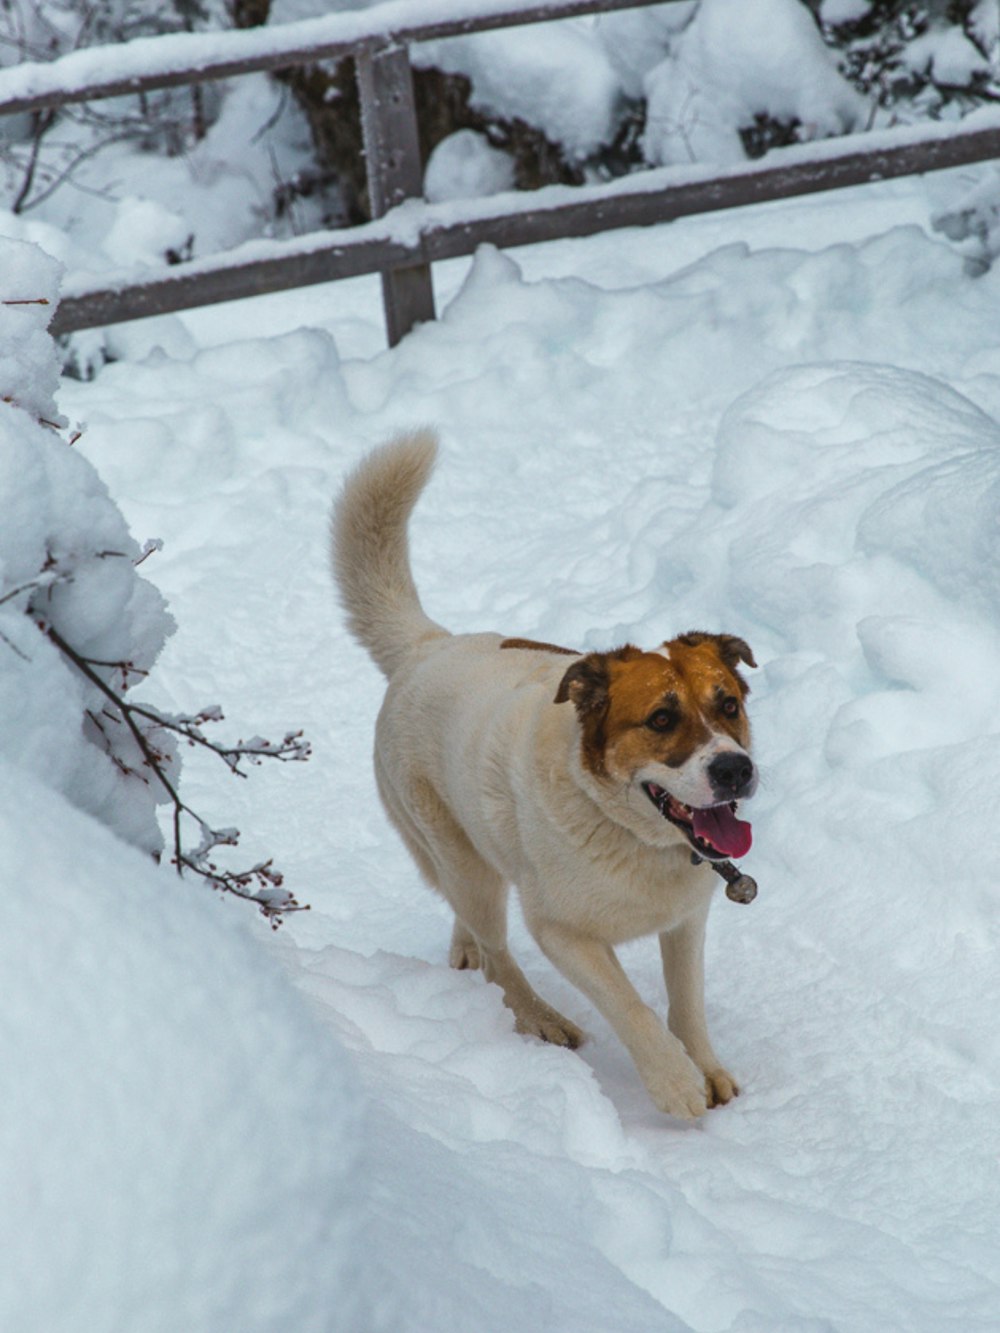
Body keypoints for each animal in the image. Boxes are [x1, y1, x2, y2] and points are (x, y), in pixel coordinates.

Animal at [330, 431, 757, 1119]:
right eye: (662, 718)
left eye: (728, 706)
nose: (735, 769)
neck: (626, 830)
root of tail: (428, 645)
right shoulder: (563, 933)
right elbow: (630, 1006)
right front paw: (673, 1081)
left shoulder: (687, 921)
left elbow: (685, 1002)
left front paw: (706, 1067)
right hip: (458, 854)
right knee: (498, 952)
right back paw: (540, 1018)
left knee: (473, 929)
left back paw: (466, 950)